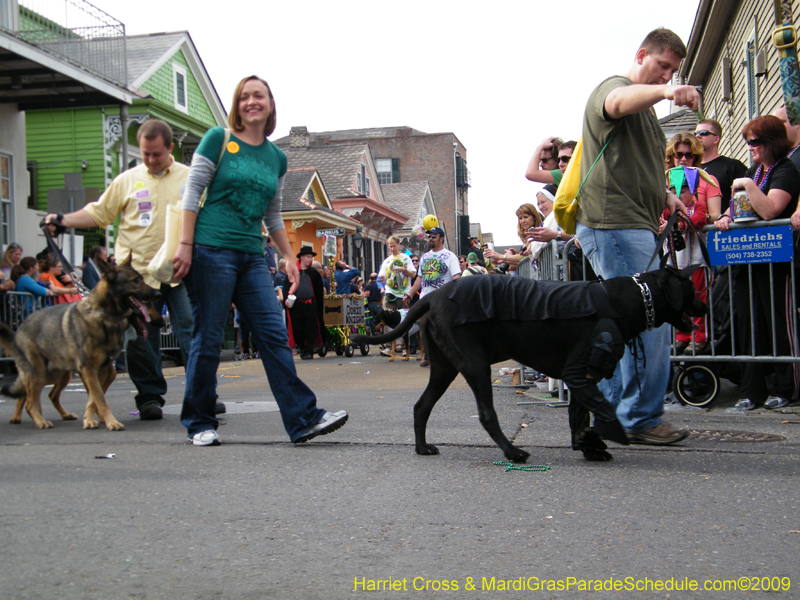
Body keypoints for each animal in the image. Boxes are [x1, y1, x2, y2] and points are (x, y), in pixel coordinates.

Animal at [0, 258, 164, 432]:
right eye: (135, 281)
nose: (158, 294)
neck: (106, 316)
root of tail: (19, 329)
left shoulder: (99, 370)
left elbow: (94, 398)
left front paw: (91, 420)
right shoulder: (89, 369)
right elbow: (100, 398)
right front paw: (110, 422)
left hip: (56, 374)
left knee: (46, 395)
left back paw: (58, 415)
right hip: (38, 373)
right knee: (29, 401)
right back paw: (34, 419)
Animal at [352, 268, 708, 464]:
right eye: (691, 290)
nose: (704, 307)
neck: (629, 298)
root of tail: (434, 296)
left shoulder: (580, 378)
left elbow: (580, 414)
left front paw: (588, 445)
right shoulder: (580, 373)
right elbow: (604, 411)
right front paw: (603, 436)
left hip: (444, 368)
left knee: (421, 407)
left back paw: (422, 447)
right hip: (475, 365)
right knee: (486, 415)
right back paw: (513, 452)